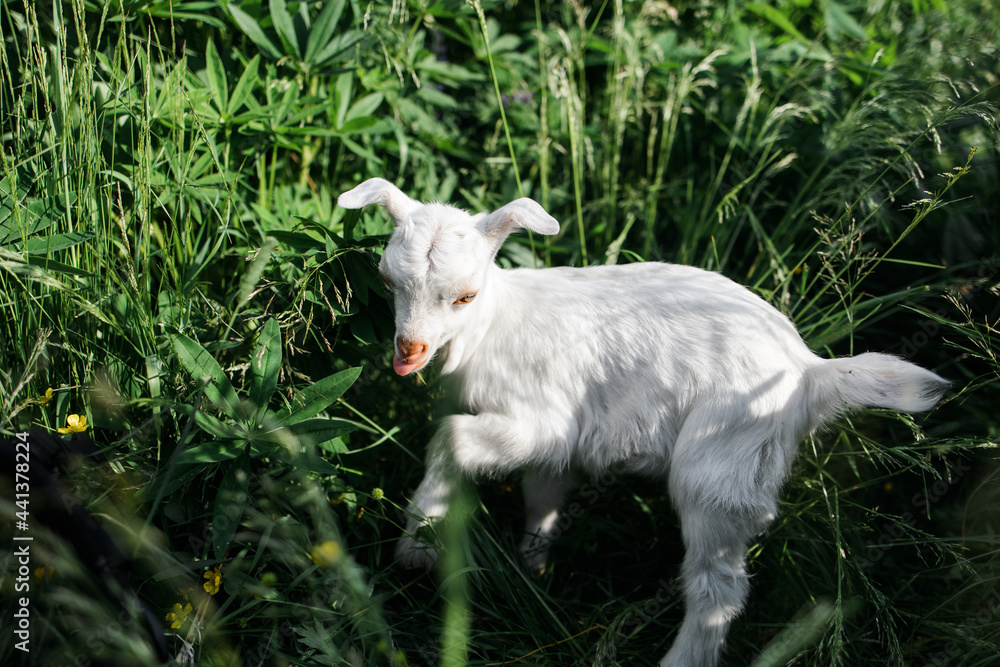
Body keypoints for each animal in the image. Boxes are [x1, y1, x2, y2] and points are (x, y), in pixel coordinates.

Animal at [337, 177, 949, 667]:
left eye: (466, 296)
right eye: (388, 282)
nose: (408, 352)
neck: (495, 325)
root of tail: (807, 373)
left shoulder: (545, 417)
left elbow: (454, 436)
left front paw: (417, 545)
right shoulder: (558, 443)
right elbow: (542, 493)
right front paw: (534, 567)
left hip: (720, 464)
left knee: (718, 588)